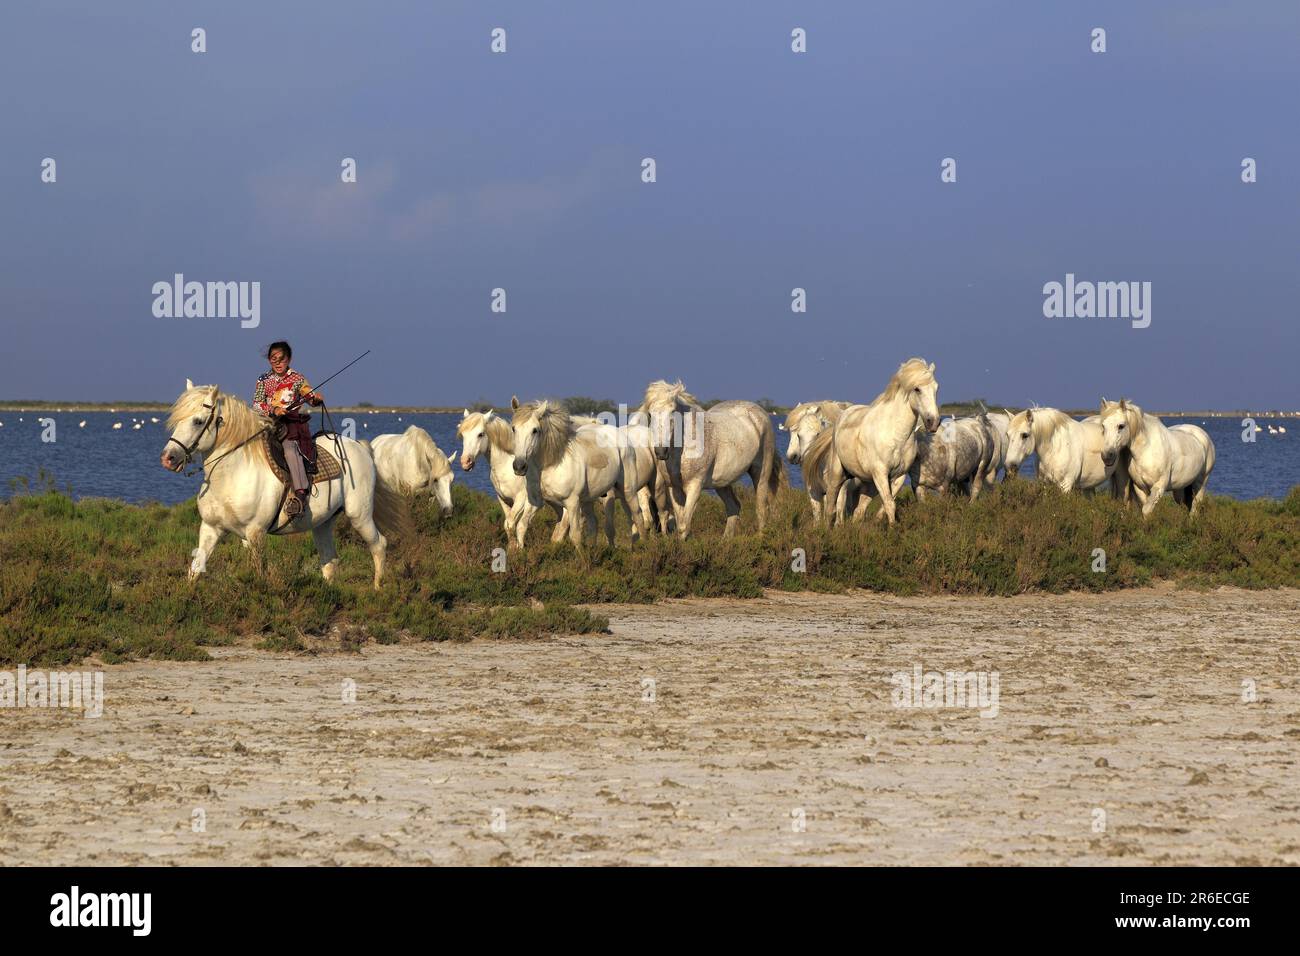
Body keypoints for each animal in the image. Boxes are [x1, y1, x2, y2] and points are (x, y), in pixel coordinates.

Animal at [160, 380, 409, 589]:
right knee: (330, 560)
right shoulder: (211, 529)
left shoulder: (255, 533)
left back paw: (377, 589)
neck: (232, 474)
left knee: (379, 545)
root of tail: (359, 447)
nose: (168, 458)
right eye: (176, 420)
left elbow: (258, 574)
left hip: (360, 515)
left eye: (198, 421)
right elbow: (195, 570)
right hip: (323, 523)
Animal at [509, 398, 647, 550]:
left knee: (638, 516)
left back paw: (644, 546)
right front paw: (519, 551)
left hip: (628, 492)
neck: (549, 466)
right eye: (514, 428)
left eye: (535, 430)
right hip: (589, 500)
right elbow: (521, 526)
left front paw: (581, 556)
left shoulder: (572, 503)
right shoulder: (535, 502)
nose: (519, 466)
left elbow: (575, 535)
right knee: (594, 523)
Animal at [641, 380, 781, 539]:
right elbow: (680, 522)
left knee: (761, 508)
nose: (661, 452)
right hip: (722, 483)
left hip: (760, 474)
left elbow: (683, 526)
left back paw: (761, 538)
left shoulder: (695, 487)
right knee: (733, 507)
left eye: (672, 412)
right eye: (650, 414)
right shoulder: (674, 488)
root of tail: (760, 413)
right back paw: (725, 540)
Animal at [811, 358, 940, 526]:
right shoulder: (880, 473)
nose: (934, 422)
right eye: (917, 389)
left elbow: (887, 505)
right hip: (838, 474)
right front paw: (892, 529)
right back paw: (828, 528)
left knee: (858, 511)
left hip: (868, 483)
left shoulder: (898, 477)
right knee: (831, 505)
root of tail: (843, 415)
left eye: (936, 388)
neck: (896, 436)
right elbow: (889, 504)